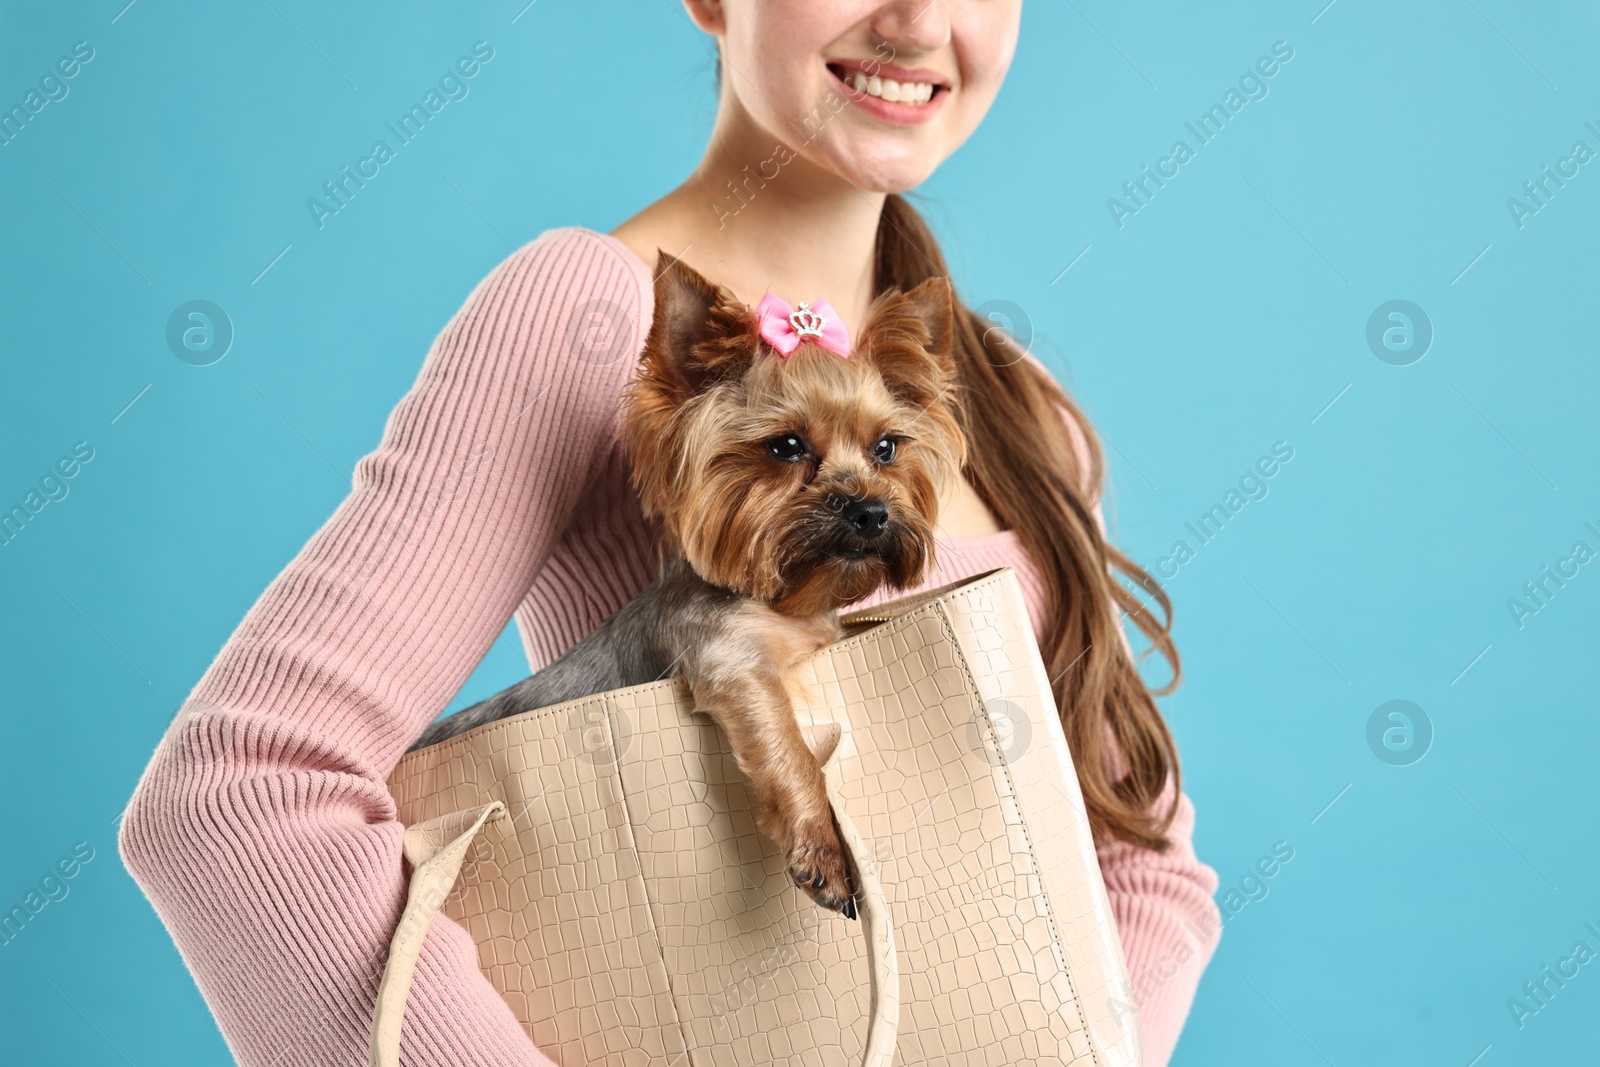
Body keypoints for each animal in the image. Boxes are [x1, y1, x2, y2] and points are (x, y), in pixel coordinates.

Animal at [406, 252, 966, 921]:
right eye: (786, 446)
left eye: (885, 448)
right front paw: (824, 850)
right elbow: (792, 749)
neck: (787, 604)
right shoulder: (732, 659)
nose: (871, 512)